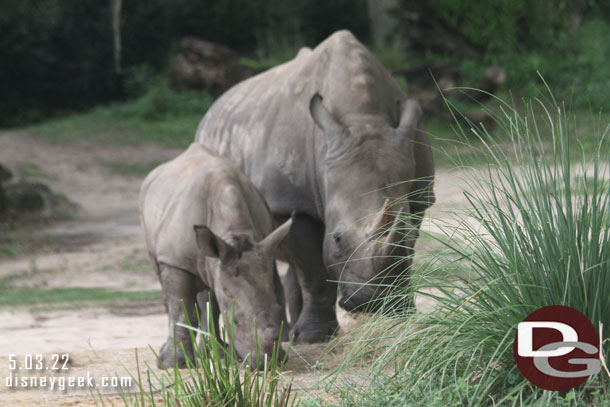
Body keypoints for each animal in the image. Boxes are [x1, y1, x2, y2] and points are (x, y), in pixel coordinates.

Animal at [139, 144, 290, 370]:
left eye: (280, 311)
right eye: (236, 321)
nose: (265, 363)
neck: (236, 233)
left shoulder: (261, 251)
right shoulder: (176, 261)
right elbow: (182, 310)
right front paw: (174, 364)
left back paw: (217, 354)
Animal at [195, 29, 432, 344]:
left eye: (406, 236)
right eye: (338, 239)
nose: (373, 302)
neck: (364, 119)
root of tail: (211, 110)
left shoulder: (419, 196)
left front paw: (402, 316)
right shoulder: (293, 202)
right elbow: (314, 269)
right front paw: (315, 337)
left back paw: (291, 332)